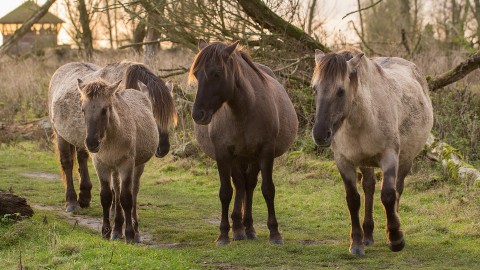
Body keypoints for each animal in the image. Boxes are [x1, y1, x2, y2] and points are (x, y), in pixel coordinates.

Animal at [47, 61, 176, 213]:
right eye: (152, 113)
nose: (163, 149)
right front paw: (115, 210)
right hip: (61, 135)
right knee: (67, 163)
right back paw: (72, 202)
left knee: (82, 158)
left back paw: (84, 197)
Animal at [76, 78, 157, 243]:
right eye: (83, 110)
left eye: (104, 109)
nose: (92, 143)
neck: (111, 138)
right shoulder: (101, 165)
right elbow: (107, 197)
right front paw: (106, 231)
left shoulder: (127, 164)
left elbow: (126, 197)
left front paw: (130, 234)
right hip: (113, 169)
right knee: (117, 191)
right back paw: (117, 229)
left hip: (138, 165)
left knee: (134, 191)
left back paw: (135, 230)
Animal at [189, 40, 298, 245]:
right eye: (197, 73)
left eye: (217, 73)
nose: (198, 114)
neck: (244, 110)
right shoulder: (224, 155)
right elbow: (225, 192)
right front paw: (223, 234)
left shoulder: (265, 153)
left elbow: (268, 190)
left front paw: (275, 233)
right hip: (237, 159)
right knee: (240, 185)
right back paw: (239, 228)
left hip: (251, 159)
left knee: (249, 185)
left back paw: (248, 227)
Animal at [312, 49, 436, 255]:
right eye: (314, 89)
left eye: (341, 91)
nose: (320, 135)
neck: (364, 118)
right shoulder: (343, 161)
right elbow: (353, 199)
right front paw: (356, 243)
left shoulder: (390, 157)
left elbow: (388, 195)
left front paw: (396, 238)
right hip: (365, 161)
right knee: (368, 187)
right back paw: (368, 235)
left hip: (405, 160)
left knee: (398, 189)